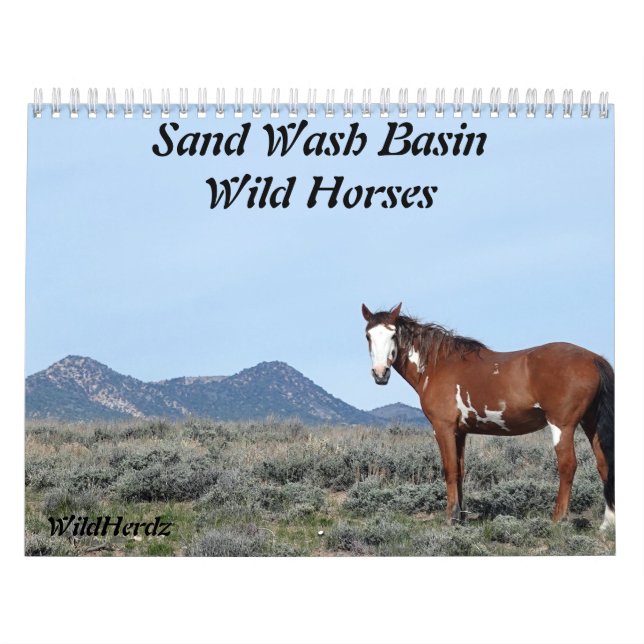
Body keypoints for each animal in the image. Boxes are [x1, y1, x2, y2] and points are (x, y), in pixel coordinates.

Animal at [361, 303, 615, 529]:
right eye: (368, 336)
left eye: (393, 334)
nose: (380, 373)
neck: (438, 365)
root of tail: (593, 359)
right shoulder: (460, 432)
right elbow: (460, 470)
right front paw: (461, 517)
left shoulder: (443, 428)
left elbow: (449, 469)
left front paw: (450, 517)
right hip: (590, 422)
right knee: (604, 464)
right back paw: (607, 523)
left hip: (562, 425)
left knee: (568, 466)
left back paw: (558, 519)